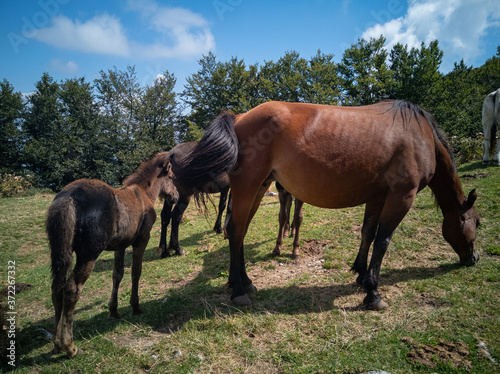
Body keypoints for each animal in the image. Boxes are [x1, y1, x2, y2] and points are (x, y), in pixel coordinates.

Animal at [47, 151, 176, 356]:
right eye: (171, 177)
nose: (176, 197)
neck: (142, 193)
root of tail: (69, 196)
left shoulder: (120, 246)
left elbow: (117, 275)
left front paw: (113, 310)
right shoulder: (141, 240)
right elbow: (136, 272)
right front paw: (135, 306)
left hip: (60, 253)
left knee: (57, 288)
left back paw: (57, 344)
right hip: (88, 255)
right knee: (71, 289)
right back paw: (69, 346)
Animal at [173, 101, 480, 308]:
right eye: (477, 222)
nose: (474, 258)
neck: (420, 135)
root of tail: (239, 117)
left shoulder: (378, 196)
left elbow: (368, 233)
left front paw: (360, 274)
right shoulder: (402, 196)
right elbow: (383, 240)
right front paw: (373, 292)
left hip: (258, 188)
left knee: (239, 232)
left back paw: (245, 282)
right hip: (248, 188)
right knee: (236, 231)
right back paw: (238, 290)